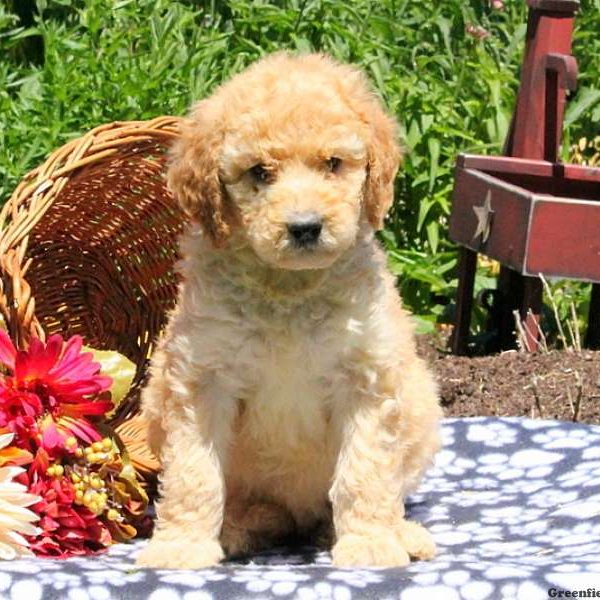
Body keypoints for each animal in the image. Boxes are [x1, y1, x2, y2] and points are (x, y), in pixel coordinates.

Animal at [137, 51, 446, 568]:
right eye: (259, 172)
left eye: (333, 164)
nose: (305, 228)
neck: (289, 288)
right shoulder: (201, 380)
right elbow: (193, 474)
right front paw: (181, 547)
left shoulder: (367, 379)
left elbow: (365, 471)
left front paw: (370, 543)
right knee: (262, 510)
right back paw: (241, 528)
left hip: (422, 409)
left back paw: (402, 533)